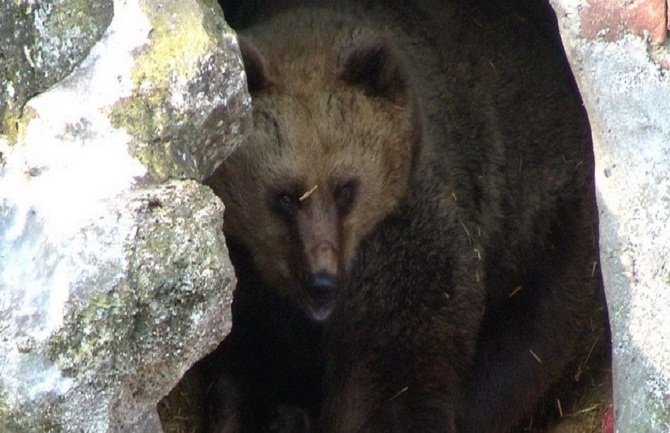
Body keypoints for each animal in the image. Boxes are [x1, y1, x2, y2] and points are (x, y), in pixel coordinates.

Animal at [205, 0, 608, 432]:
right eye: (283, 196)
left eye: (346, 187)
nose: (322, 282)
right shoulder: (249, 274)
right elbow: (250, 364)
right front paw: (272, 414)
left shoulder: (407, 241)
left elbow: (396, 374)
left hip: (544, 222)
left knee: (529, 341)